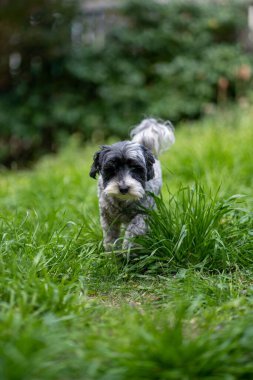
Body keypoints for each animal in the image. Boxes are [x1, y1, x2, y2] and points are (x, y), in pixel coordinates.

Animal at [90, 117, 175, 251]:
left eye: (135, 168)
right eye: (111, 169)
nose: (124, 188)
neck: (123, 202)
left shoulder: (144, 212)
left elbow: (134, 229)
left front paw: (127, 248)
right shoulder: (107, 216)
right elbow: (110, 237)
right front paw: (112, 252)